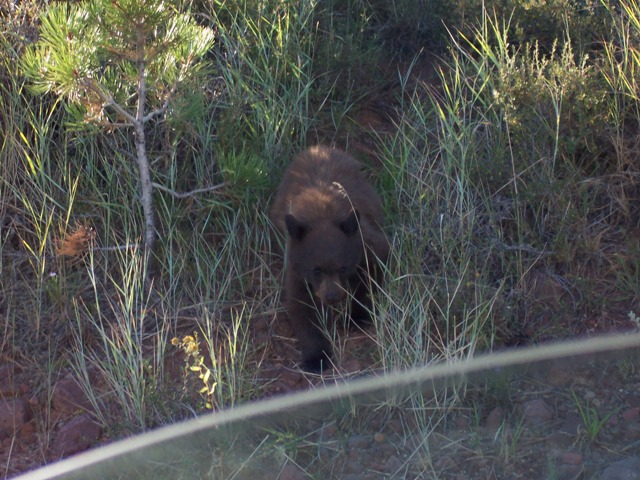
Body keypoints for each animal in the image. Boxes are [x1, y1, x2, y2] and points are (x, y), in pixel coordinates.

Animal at [270, 145, 389, 372]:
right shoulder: (296, 266)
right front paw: (316, 358)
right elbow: (303, 306)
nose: (332, 296)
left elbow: (373, 269)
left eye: (343, 268)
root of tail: (318, 147)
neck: (321, 215)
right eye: (316, 270)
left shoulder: (364, 240)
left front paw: (357, 317)